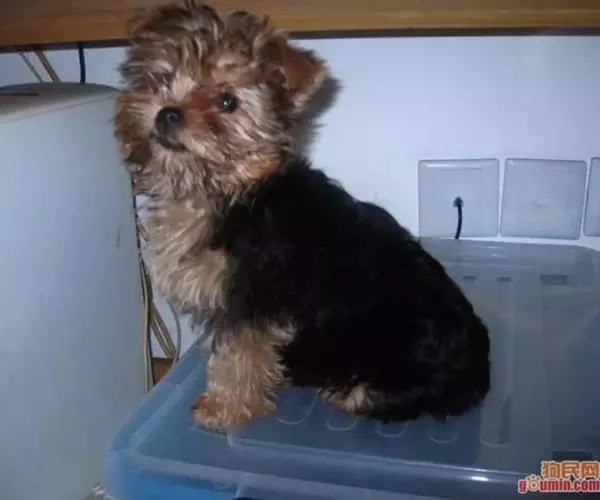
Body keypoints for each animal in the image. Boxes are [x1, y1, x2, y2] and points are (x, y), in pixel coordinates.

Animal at [114, 0, 491, 431]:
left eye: (228, 102)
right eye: (160, 77)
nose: (168, 113)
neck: (226, 190)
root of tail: (477, 371)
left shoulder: (252, 298)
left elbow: (237, 352)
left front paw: (222, 407)